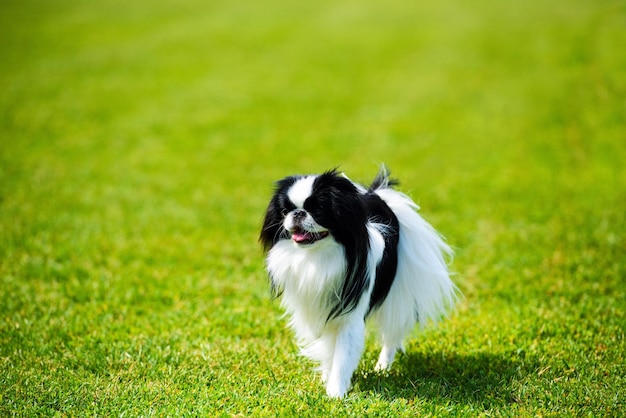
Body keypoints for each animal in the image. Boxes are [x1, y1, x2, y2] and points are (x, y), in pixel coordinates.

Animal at [256, 167, 456, 398]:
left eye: (318, 210)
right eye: (284, 211)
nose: (297, 213)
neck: (316, 258)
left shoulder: (349, 318)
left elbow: (342, 357)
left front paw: (335, 394)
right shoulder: (320, 310)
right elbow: (328, 350)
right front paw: (326, 378)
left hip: (397, 299)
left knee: (391, 336)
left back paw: (382, 368)